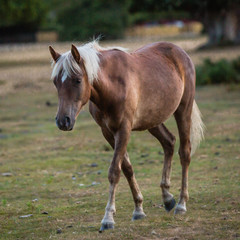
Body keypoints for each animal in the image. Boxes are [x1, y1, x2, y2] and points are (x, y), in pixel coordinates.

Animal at [49, 40, 204, 232]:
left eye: (77, 80)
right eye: (55, 82)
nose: (63, 121)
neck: (112, 86)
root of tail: (179, 51)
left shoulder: (124, 129)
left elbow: (114, 171)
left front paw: (108, 218)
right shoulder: (108, 132)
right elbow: (127, 168)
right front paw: (138, 209)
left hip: (183, 109)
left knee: (185, 153)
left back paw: (182, 204)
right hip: (152, 120)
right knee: (169, 142)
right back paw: (167, 197)